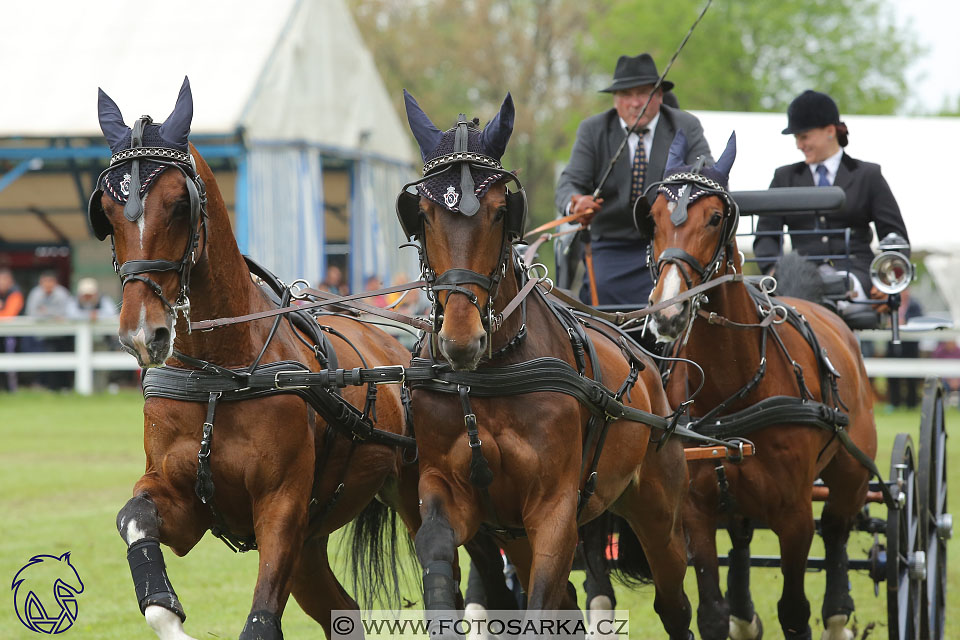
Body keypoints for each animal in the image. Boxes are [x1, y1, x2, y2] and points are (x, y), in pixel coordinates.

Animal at [89, 79, 416, 640]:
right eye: (107, 213)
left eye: (179, 204)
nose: (141, 333)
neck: (221, 376)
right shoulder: (184, 504)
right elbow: (134, 519)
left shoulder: (282, 509)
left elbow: (261, 621)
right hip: (311, 546)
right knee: (344, 612)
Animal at [400, 92, 696, 636]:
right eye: (423, 213)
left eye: (501, 211)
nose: (461, 340)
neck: (491, 375)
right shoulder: (451, 488)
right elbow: (434, 546)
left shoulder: (555, 508)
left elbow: (540, 604)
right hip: (513, 532)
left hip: (659, 511)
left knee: (674, 603)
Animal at [644, 130, 876, 640]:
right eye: (652, 218)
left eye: (715, 217)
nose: (667, 314)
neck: (733, 389)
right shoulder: (695, 513)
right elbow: (711, 612)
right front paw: (731, 613)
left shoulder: (794, 516)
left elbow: (794, 611)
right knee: (743, 537)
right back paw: (745, 613)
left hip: (850, 472)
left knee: (837, 530)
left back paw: (838, 612)